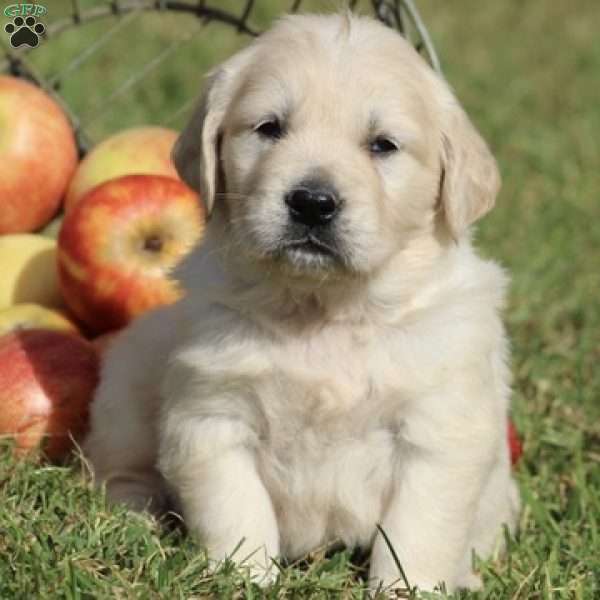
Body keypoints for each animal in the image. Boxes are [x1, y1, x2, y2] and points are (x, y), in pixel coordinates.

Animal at [84, 11, 520, 592]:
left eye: (382, 145)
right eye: (270, 127)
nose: (312, 202)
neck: (322, 309)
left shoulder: (439, 429)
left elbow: (416, 531)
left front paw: (405, 589)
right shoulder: (211, 417)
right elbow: (235, 509)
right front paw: (244, 578)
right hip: (129, 377)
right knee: (117, 470)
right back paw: (138, 519)